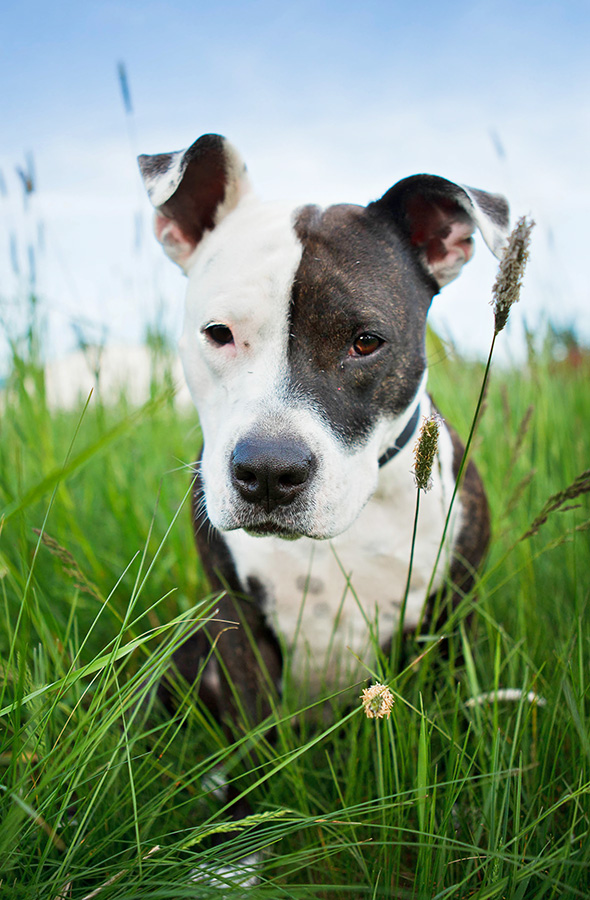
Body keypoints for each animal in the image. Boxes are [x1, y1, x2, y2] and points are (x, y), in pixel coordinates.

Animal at [138, 128, 508, 852]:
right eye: (218, 334)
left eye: (366, 341)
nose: (268, 472)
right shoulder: (237, 623)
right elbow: (254, 747)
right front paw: (234, 852)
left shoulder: (449, 618)